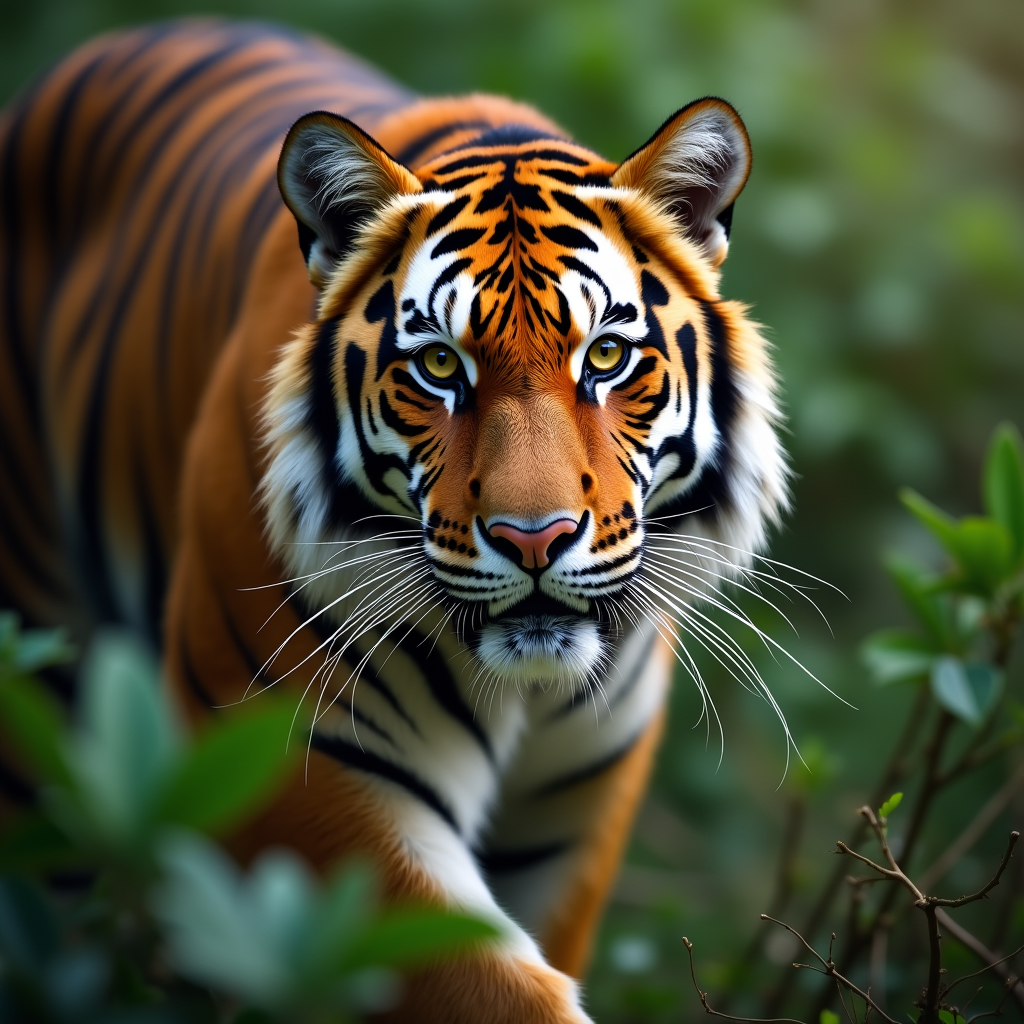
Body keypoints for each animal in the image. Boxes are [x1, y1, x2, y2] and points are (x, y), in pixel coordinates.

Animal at [0, 20, 788, 1023]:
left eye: (607, 357)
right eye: (440, 366)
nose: (535, 539)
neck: (524, 691)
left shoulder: (571, 824)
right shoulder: (298, 767)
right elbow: (492, 987)